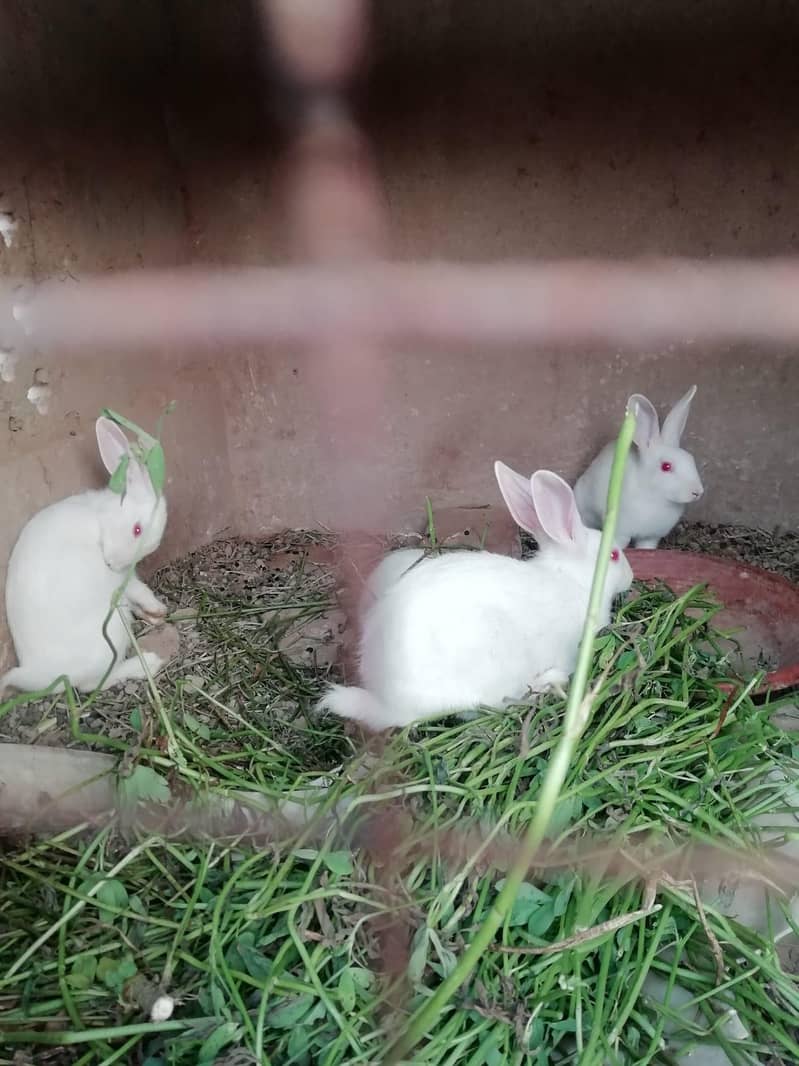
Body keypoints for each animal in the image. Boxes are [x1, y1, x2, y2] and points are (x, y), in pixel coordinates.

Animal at [1, 416, 169, 696]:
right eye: (137, 529)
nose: (110, 563)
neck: (100, 523)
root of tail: (36, 673)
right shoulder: (121, 582)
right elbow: (139, 590)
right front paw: (159, 608)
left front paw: (155, 615)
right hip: (112, 630)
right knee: (92, 684)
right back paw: (147, 662)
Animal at [574, 386, 704, 549]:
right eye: (666, 466)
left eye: (691, 459)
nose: (697, 492)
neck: (655, 495)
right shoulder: (621, 531)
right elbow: (620, 543)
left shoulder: (651, 537)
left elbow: (646, 548)